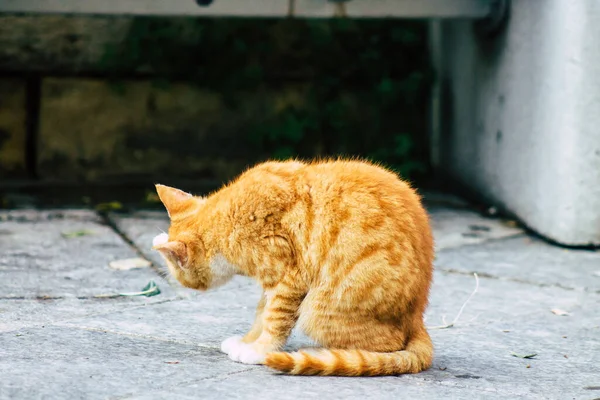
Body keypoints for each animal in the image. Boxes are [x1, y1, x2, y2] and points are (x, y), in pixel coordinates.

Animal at [152, 159, 434, 376]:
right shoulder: (271, 284)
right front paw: (247, 341)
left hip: (317, 311)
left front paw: (259, 350)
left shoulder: (287, 279)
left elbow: (274, 321)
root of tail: (417, 318)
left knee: (387, 345)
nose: (181, 281)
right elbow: (261, 315)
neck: (226, 221)